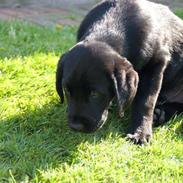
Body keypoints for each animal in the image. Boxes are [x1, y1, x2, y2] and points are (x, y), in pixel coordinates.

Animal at [56, 0, 183, 144]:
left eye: (94, 94)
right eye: (67, 90)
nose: (75, 126)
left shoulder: (156, 64)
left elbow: (146, 101)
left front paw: (140, 132)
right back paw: (159, 114)